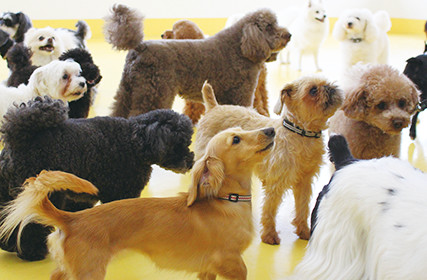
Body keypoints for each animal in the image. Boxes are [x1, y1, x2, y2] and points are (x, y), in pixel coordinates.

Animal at [0, 96, 195, 260]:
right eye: (180, 144)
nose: (191, 160)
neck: (137, 142)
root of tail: (19, 139)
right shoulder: (122, 192)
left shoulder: (81, 197)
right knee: (30, 224)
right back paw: (32, 252)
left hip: (9, 195)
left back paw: (10, 246)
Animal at [0, 127, 276, 280]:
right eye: (236, 139)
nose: (271, 130)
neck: (227, 202)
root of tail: (72, 218)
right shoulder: (232, 263)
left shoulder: (207, 270)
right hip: (89, 273)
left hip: (67, 270)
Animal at [103, 4, 290, 118]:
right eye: (269, 27)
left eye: (276, 23)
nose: (289, 35)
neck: (240, 48)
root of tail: (140, 47)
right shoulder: (241, 95)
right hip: (153, 93)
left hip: (128, 92)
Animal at [196, 80, 342, 244]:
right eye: (313, 90)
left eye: (327, 83)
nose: (330, 88)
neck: (301, 133)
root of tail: (214, 107)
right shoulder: (275, 184)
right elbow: (269, 210)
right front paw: (269, 235)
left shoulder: (304, 182)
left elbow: (302, 207)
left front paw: (304, 230)